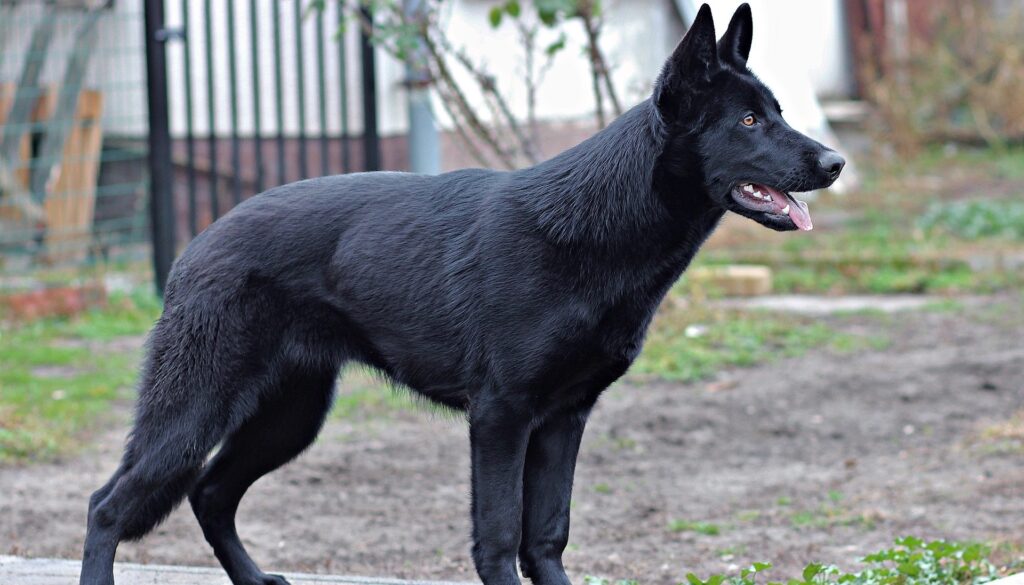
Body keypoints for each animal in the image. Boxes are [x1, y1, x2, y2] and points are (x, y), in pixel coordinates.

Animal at [79, 5, 843, 585]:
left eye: (778, 112)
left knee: (210, 494)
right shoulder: (501, 418)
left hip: (289, 418)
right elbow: (500, 538)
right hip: (194, 412)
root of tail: (197, 244)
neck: (596, 229)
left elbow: (547, 537)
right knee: (107, 505)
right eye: (749, 122)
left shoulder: (563, 420)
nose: (837, 162)